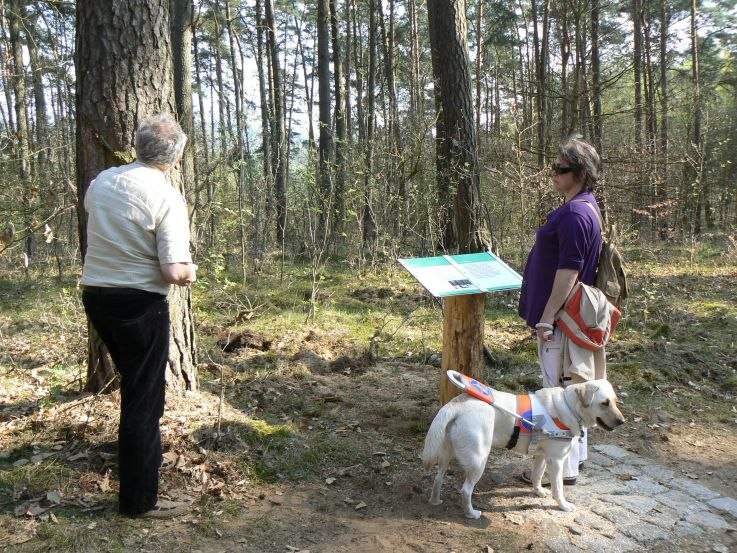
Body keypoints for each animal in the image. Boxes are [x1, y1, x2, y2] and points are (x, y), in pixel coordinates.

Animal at [422, 378, 624, 516]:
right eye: (604, 403)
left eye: (615, 401)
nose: (622, 421)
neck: (569, 407)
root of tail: (456, 404)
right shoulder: (556, 460)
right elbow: (558, 487)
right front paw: (563, 505)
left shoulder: (541, 456)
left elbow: (537, 475)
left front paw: (538, 491)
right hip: (479, 460)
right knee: (465, 490)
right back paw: (471, 513)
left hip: (446, 454)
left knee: (438, 479)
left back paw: (435, 501)